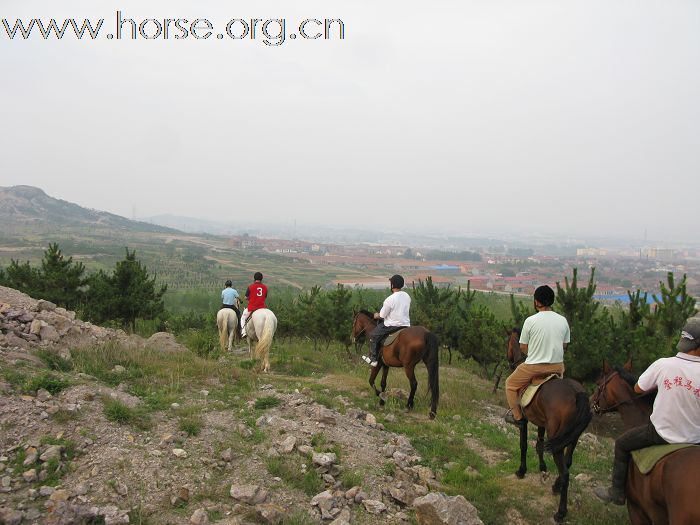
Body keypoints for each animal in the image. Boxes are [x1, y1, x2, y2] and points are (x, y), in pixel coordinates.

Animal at [516, 372, 592, 520]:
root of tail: (576, 393)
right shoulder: (541, 422)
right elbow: (539, 445)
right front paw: (543, 469)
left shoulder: (524, 419)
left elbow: (524, 444)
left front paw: (521, 471)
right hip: (571, 437)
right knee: (567, 462)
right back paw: (556, 487)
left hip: (555, 436)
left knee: (565, 473)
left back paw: (560, 513)